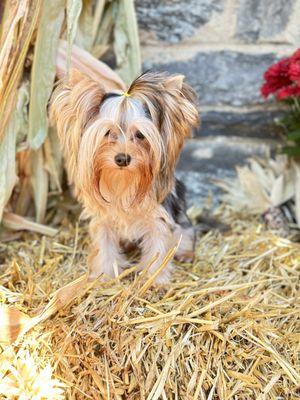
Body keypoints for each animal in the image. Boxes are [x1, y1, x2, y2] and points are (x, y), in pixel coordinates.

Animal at [49, 70, 199, 282]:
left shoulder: (158, 218)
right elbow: (105, 247)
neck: (123, 180)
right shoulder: (103, 220)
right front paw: (104, 275)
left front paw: (155, 280)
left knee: (185, 231)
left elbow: (158, 248)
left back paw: (185, 253)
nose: (122, 158)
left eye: (140, 135)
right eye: (107, 133)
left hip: (180, 216)